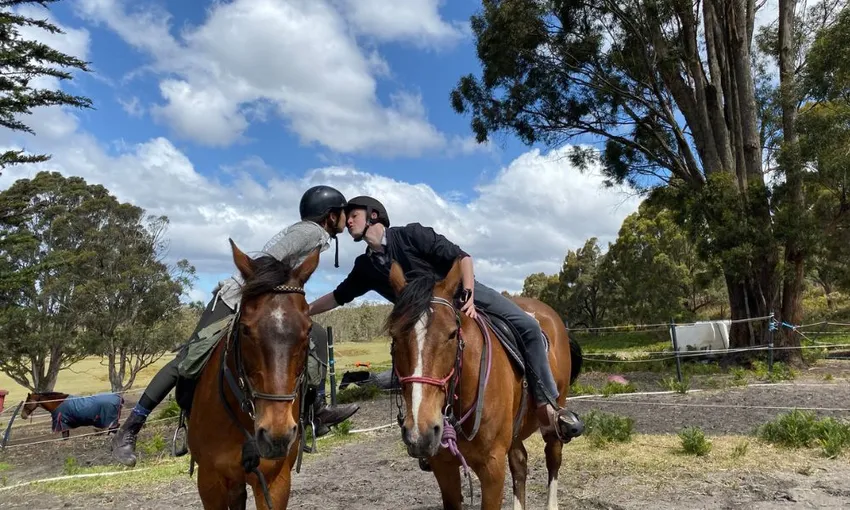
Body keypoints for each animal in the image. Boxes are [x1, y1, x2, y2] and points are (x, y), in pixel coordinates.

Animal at [385, 258, 583, 510]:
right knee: (520, 463)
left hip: (554, 414)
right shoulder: (444, 467)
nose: (422, 432)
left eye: (452, 334)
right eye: (394, 336)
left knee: (553, 456)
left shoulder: (492, 468)